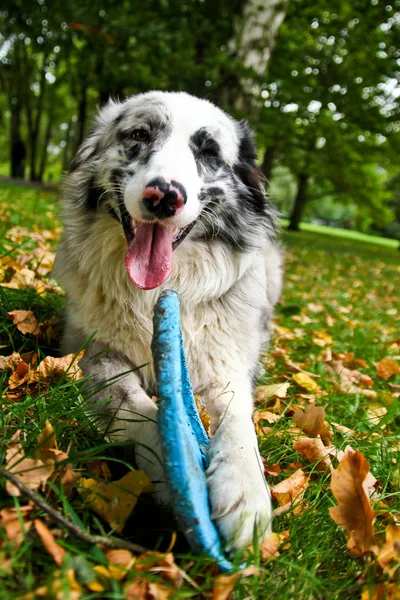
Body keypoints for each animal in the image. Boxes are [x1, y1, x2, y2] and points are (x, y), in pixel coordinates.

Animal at [54, 90, 282, 552]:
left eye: (209, 152)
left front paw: (245, 491)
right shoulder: (95, 356)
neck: (161, 289)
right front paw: (179, 471)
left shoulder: (224, 367)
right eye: (139, 135)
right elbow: (144, 410)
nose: (164, 197)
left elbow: (239, 424)